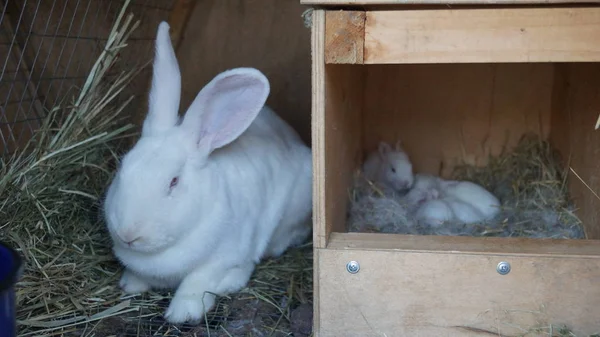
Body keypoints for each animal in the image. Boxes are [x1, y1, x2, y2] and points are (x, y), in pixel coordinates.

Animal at [101, 21, 312, 322]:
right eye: (122, 168)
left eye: (174, 182)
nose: (128, 234)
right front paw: (131, 284)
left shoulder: (224, 257)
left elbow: (198, 280)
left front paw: (183, 312)